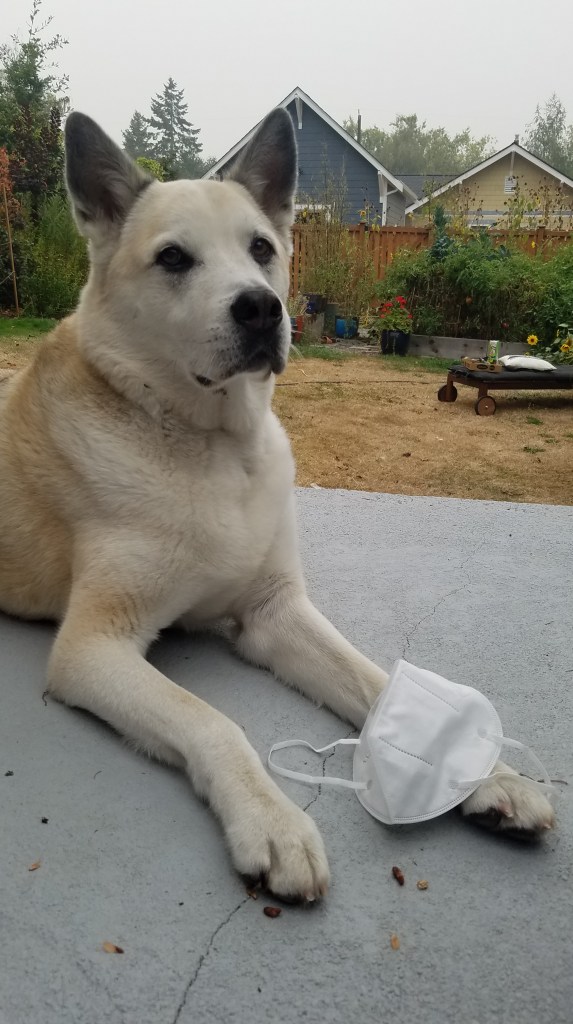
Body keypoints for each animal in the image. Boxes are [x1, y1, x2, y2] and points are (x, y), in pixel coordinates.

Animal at [0, 109, 554, 901]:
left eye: (261, 248)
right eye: (173, 258)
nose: (262, 308)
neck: (212, 445)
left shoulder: (272, 612)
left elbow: (374, 682)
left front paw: (480, 775)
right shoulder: (92, 647)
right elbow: (211, 721)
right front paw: (271, 821)